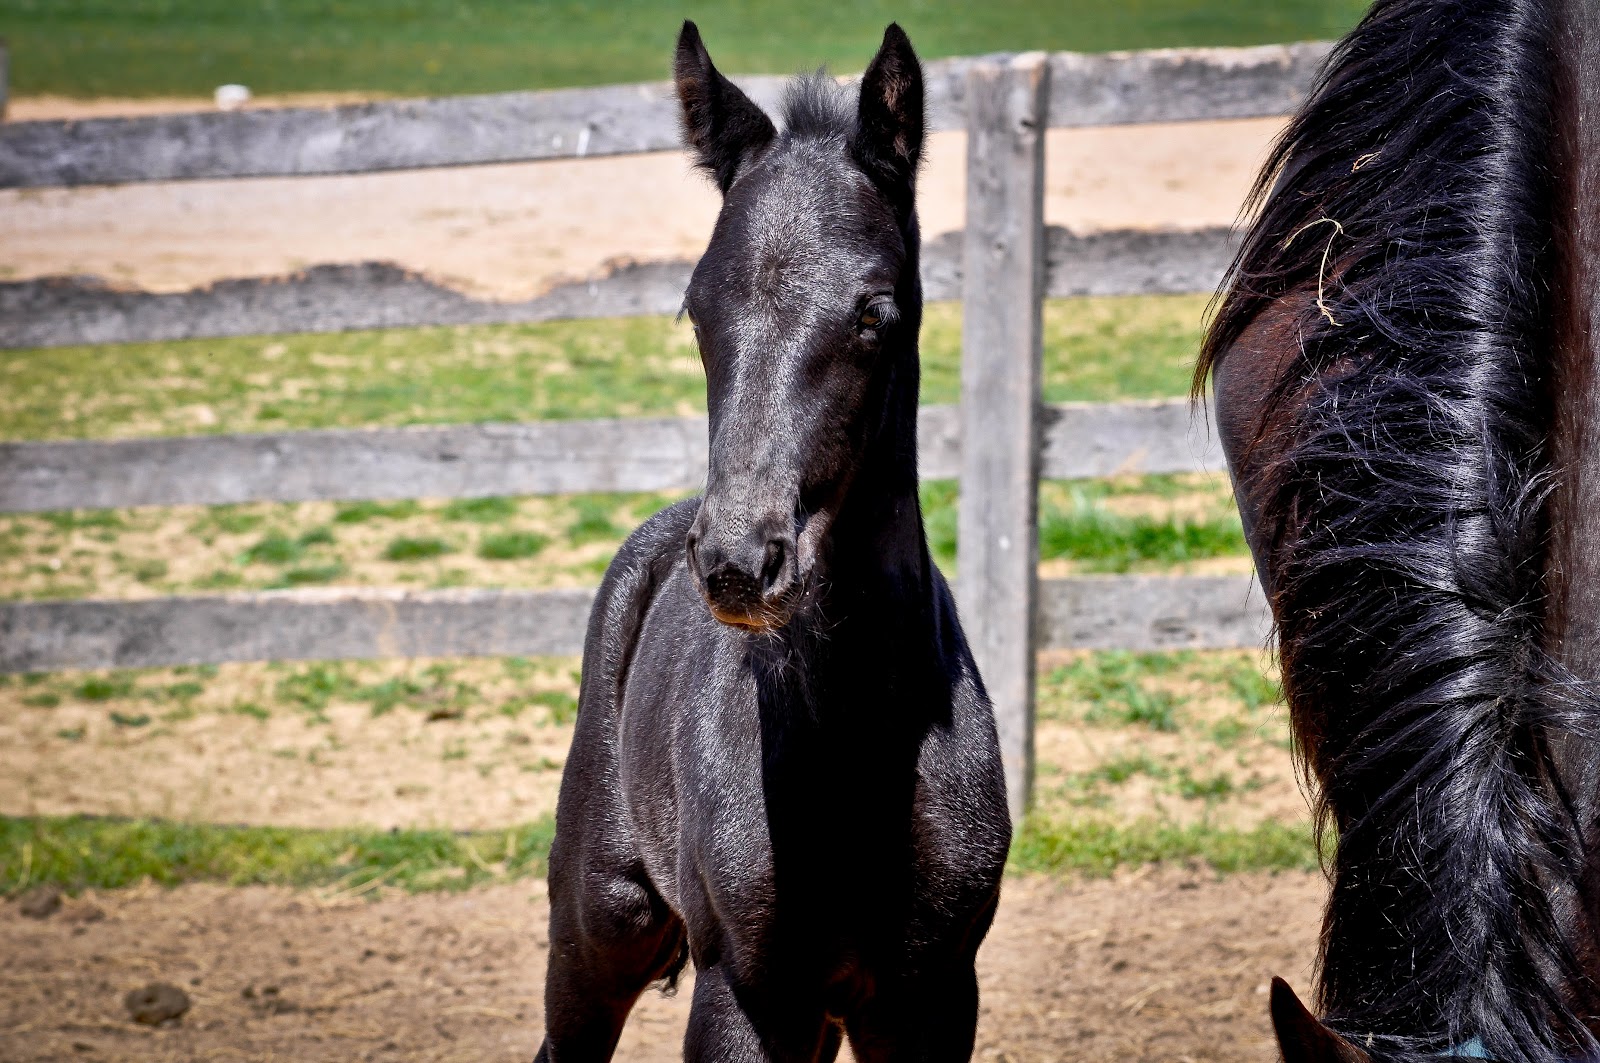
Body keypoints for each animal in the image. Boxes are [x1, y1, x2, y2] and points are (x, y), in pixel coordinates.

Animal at [534, 22, 1012, 1063]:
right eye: (697, 308)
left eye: (874, 312)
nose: (739, 562)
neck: (858, 732)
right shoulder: (747, 993)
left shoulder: (931, 995)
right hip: (600, 922)